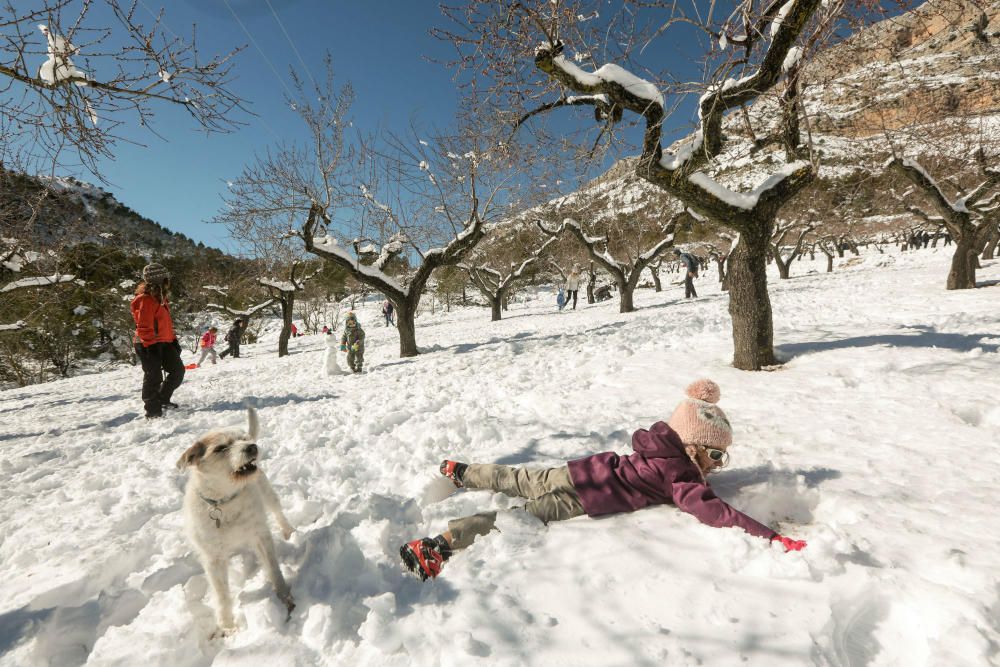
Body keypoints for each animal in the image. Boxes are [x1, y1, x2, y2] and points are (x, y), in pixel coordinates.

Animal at [178, 408, 294, 636]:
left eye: (243, 438)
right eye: (220, 448)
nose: (252, 446)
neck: (225, 501)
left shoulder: (261, 535)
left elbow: (274, 568)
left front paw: (284, 596)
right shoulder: (213, 558)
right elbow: (222, 593)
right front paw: (226, 625)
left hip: (268, 495)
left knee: (278, 512)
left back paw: (289, 531)